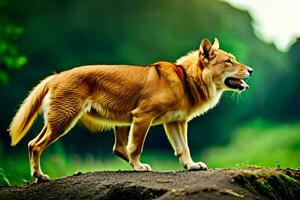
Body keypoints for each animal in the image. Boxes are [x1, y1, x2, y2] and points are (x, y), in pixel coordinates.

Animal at [8, 38, 252, 183]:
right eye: (228, 61)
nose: (250, 70)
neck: (185, 78)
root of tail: (56, 76)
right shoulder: (143, 116)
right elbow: (137, 146)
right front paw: (138, 166)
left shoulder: (175, 122)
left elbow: (183, 148)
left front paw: (191, 165)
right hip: (64, 120)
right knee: (35, 145)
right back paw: (39, 176)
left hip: (98, 122)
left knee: (117, 148)